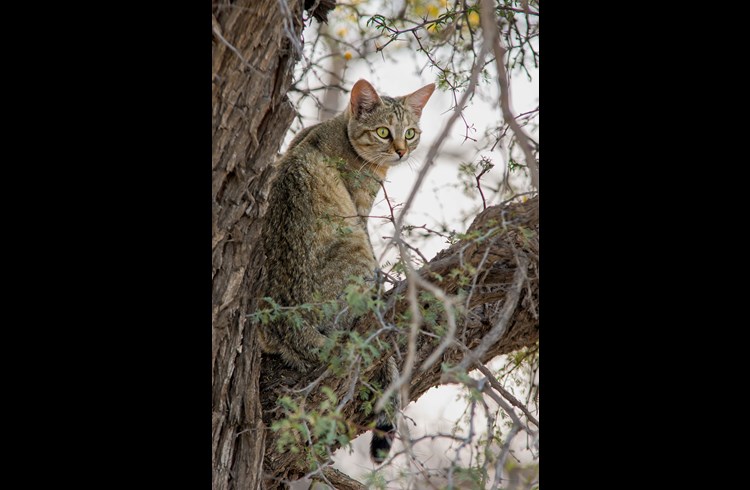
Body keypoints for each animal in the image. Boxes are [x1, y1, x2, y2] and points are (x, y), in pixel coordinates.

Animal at [260, 78, 438, 466]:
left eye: (411, 132)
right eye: (384, 132)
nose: (401, 151)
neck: (335, 131)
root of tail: (290, 327)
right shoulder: (359, 211)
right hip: (357, 251)